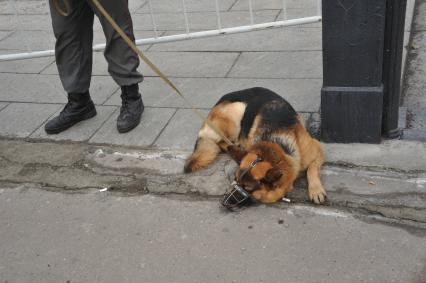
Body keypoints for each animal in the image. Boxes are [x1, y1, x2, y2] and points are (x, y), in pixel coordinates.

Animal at [183, 87, 326, 205]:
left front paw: (316, 190)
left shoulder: (317, 149)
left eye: (247, 188)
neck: (279, 146)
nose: (224, 202)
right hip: (237, 112)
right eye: (235, 180)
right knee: (220, 141)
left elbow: (312, 169)